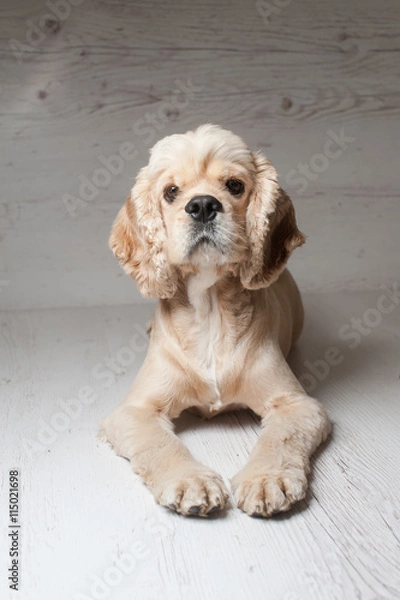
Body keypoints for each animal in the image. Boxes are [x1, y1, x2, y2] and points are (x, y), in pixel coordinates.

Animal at [101, 125, 332, 516]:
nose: (203, 205)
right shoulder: (134, 410)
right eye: (171, 191)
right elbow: (160, 444)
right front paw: (189, 481)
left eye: (235, 185)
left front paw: (267, 479)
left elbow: (280, 438)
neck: (209, 310)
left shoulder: (297, 404)